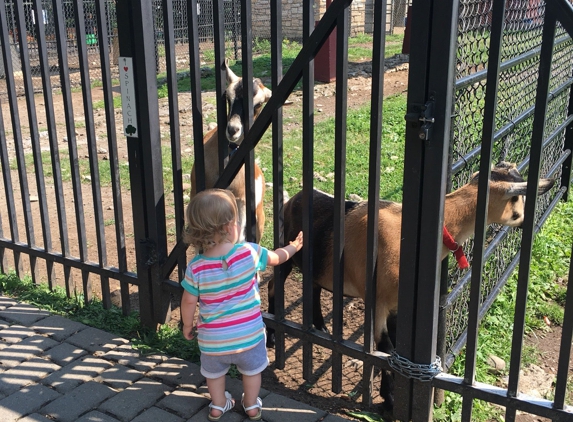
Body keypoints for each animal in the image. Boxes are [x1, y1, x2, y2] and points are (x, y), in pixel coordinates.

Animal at [268, 162, 556, 412]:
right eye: (517, 199)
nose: (525, 220)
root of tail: (292, 200)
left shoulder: (397, 306)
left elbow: (392, 349)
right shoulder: (378, 302)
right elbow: (384, 349)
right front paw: (390, 400)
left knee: (313, 288)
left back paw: (320, 327)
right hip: (286, 250)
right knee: (273, 285)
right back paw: (272, 338)